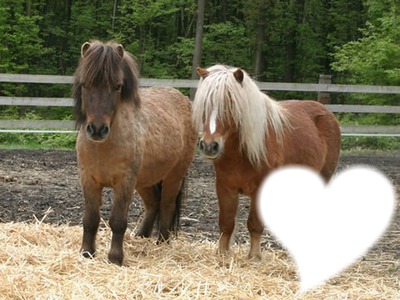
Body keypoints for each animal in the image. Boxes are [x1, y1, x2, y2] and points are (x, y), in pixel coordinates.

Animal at [72, 40, 198, 264]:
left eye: (117, 86)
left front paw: (115, 258)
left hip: (173, 176)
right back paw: (141, 236)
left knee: (166, 206)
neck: (104, 147)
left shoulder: (125, 182)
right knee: (153, 204)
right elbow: (90, 219)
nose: (97, 129)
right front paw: (86, 253)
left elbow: (118, 221)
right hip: (145, 181)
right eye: (85, 84)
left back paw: (162, 243)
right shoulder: (89, 180)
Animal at [191, 65, 340, 260]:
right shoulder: (225, 188)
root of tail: (326, 111)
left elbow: (254, 224)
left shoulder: (259, 189)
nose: (209, 146)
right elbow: (226, 223)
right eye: (205, 105)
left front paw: (254, 257)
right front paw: (222, 254)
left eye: (231, 104)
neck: (241, 154)